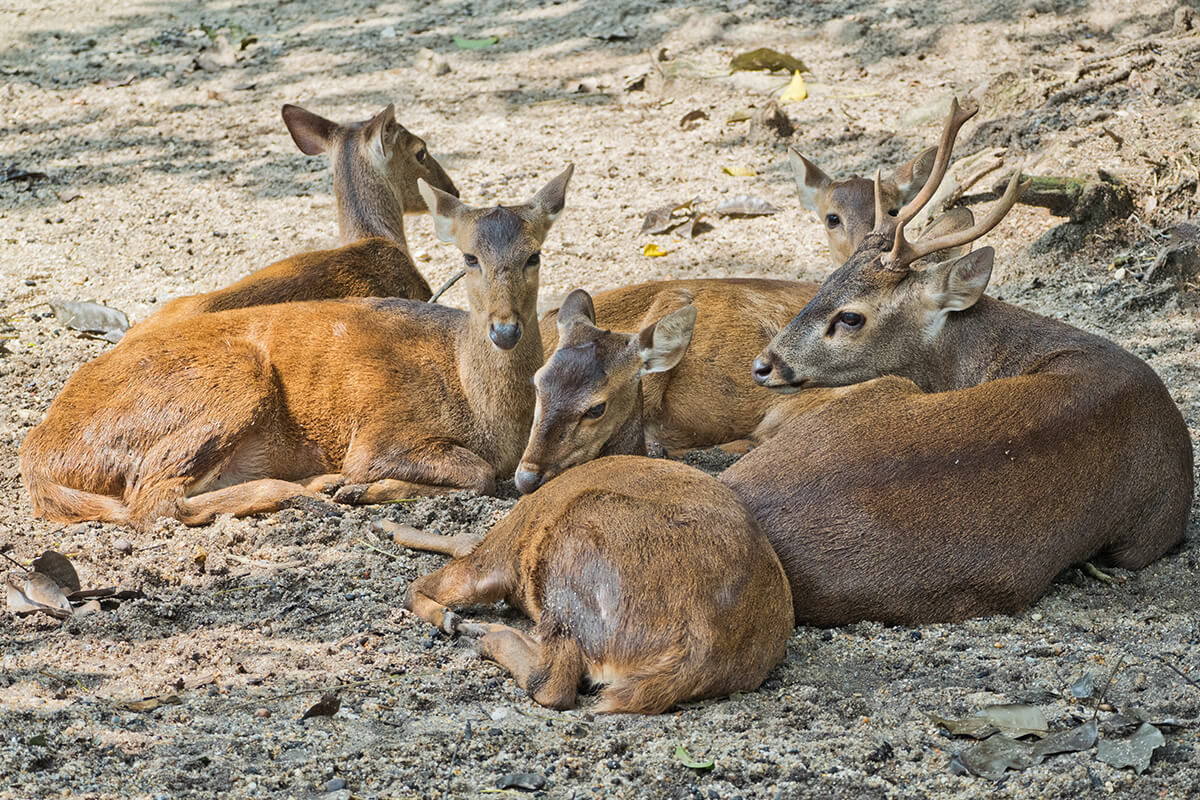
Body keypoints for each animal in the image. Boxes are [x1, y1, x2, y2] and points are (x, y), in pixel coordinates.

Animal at [17, 167, 571, 532]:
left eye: (535, 255)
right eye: (469, 258)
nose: (505, 329)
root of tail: (38, 451)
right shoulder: (380, 433)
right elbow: (476, 474)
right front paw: (360, 486)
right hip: (231, 382)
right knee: (151, 501)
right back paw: (310, 490)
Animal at [384, 453, 796, 714]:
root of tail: (695, 649)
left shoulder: (502, 556)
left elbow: (421, 584)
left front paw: (450, 619)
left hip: (573, 545)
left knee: (553, 681)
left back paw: (482, 635)